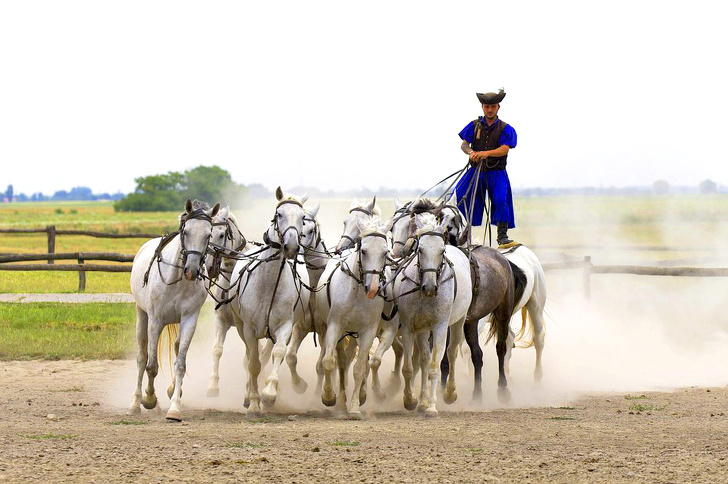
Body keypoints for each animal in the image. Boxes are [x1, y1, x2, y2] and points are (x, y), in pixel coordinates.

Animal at [128, 199, 219, 420]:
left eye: (208, 234)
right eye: (185, 231)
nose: (192, 270)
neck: (176, 280)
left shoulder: (189, 320)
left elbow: (180, 364)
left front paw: (174, 408)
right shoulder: (155, 321)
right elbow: (151, 365)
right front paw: (149, 399)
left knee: (176, 348)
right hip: (142, 315)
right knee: (142, 358)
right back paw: (135, 403)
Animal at [226, 188, 308, 416]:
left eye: (303, 218)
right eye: (278, 215)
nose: (291, 247)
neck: (269, 283)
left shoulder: (284, 326)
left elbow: (278, 353)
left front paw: (269, 395)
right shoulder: (249, 329)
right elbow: (253, 363)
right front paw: (254, 403)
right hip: (240, 326)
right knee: (249, 357)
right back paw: (248, 396)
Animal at [316, 218, 390, 416]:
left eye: (385, 252)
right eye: (363, 250)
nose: (373, 288)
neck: (357, 293)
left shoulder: (367, 332)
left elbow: (359, 369)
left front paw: (355, 407)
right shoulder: (334, 327)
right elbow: (329, 362)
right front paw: (328, 397)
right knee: (340, 363)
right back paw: (339, 400)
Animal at [392, 213, 472, 416]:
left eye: (441, 251)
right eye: (420, 249)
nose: (429, 287)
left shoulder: (440, 327)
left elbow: (435, 367)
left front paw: (432, 407)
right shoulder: (410, 327)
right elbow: (410, 368)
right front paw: (411, 400)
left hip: (458, 322)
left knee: (451, 352)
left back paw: (450, 393)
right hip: (423, 330)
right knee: (424, 360)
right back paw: (421, 401)